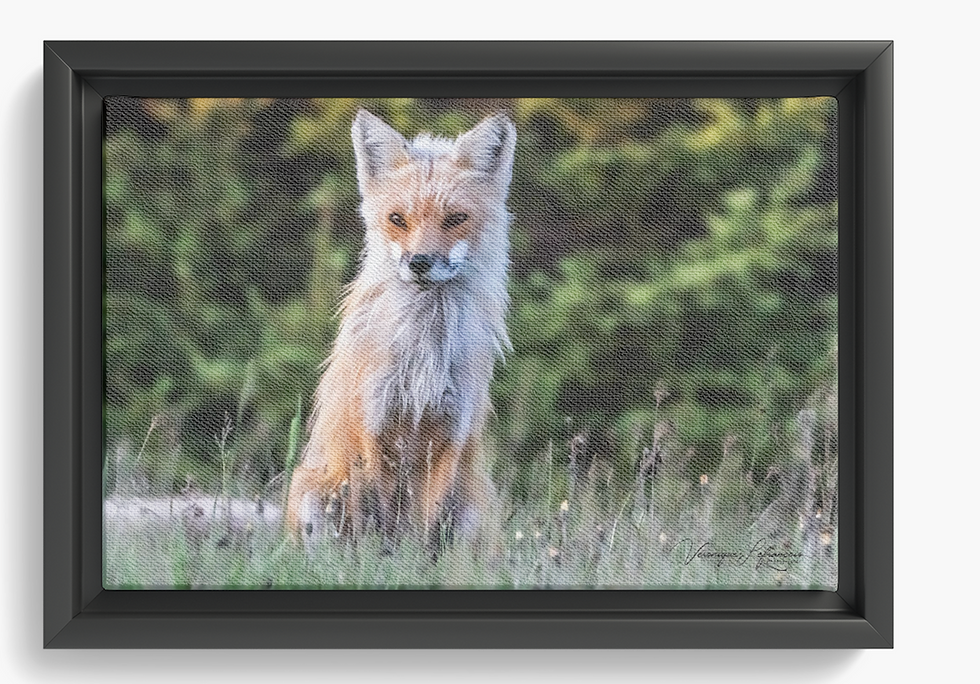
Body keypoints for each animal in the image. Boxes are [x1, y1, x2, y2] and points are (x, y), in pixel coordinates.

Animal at [286, 109, 516, 553]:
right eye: (397, 220)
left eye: (455, 219)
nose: (420, 262)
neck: (424, 352)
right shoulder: (372, 429)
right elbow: (380, 521)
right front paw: (381, 561)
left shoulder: (449, 436)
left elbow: (422, 531)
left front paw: (412, 562)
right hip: (312, 493)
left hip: (476, 509)